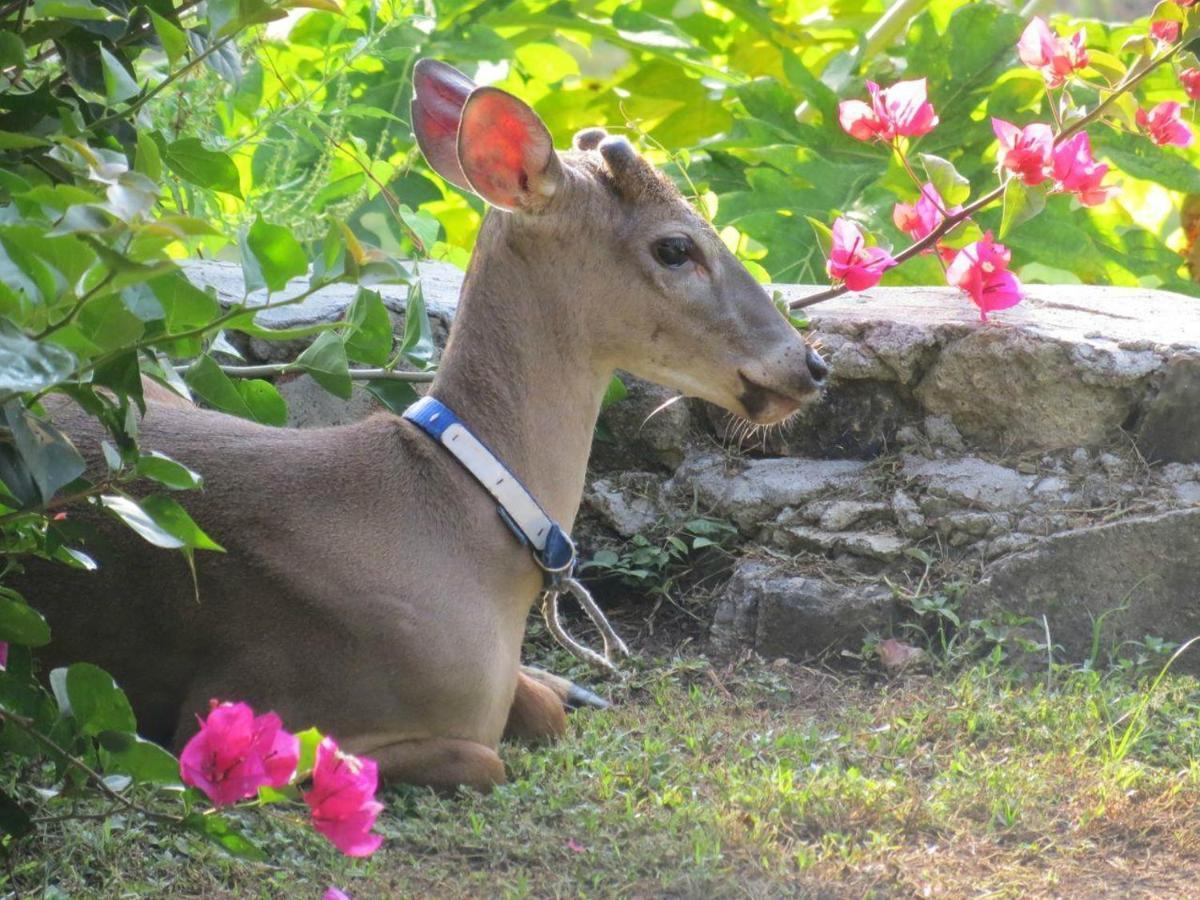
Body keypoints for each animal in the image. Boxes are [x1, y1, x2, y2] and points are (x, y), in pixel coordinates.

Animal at [21, 60, 825, 792]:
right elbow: (484, 757)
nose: (810, 365)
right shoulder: (237, 705)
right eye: (675, 247)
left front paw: (565, 689)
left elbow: (537, 713)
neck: (462, 524)